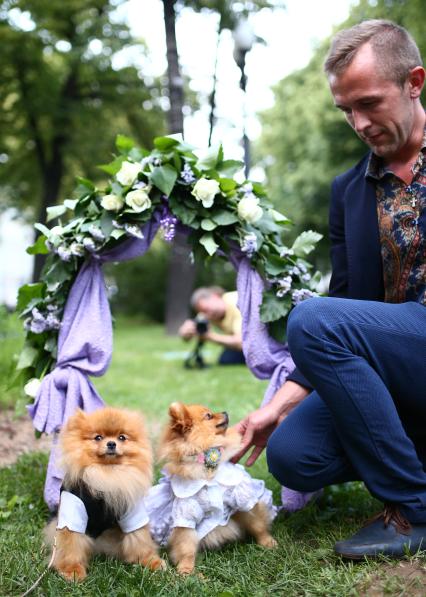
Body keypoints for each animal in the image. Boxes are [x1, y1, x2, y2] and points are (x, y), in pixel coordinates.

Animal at [45, 407, 165, 581]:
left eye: (122, 437)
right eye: (98, 437)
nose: (111, 443)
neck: (107, 474)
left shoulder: (132, 511)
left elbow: (140, 538)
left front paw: (150, 560)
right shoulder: (73, 512)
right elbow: (71, 544)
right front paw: (72, 570)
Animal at [145, 402, 277, 574]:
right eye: (208, 415)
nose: (225, 411)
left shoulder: (241, 500)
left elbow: (257, 524)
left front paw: (267, 542)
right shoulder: (186, 515)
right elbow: (186, 547)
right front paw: (186, 570)